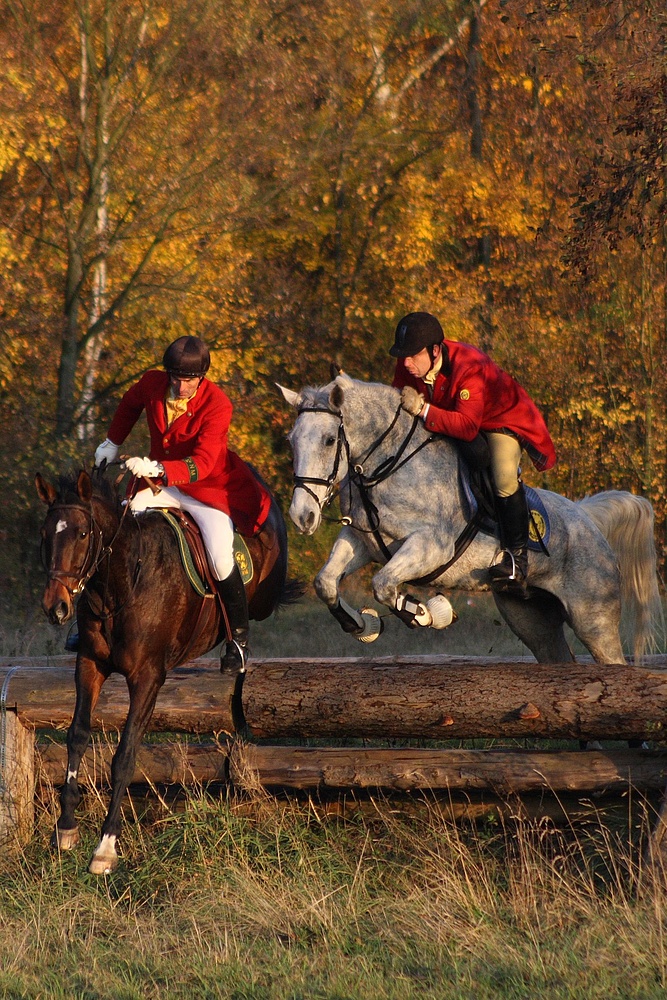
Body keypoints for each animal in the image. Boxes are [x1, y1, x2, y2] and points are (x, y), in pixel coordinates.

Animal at [36, 468, 288, 876]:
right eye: (46, 534)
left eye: (83, 534)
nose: (55, 607)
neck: (120, 584)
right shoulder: (89, 665)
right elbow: (76, 736)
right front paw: (66, 829)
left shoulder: (148, 677)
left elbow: (124, 755)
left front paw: (105, 847)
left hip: (264, 588)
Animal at [278, 376, 664, 664]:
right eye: (291, 441)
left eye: (330, 440)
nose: (302, 516)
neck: (385, 465)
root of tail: (586, 518)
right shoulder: (362, 540)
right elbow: (326, 582)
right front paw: (362, 625)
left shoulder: (431, 545)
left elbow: (383, 584)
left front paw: (428, 612)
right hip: (531, 619)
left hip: (593, 618)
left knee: (612, 662)